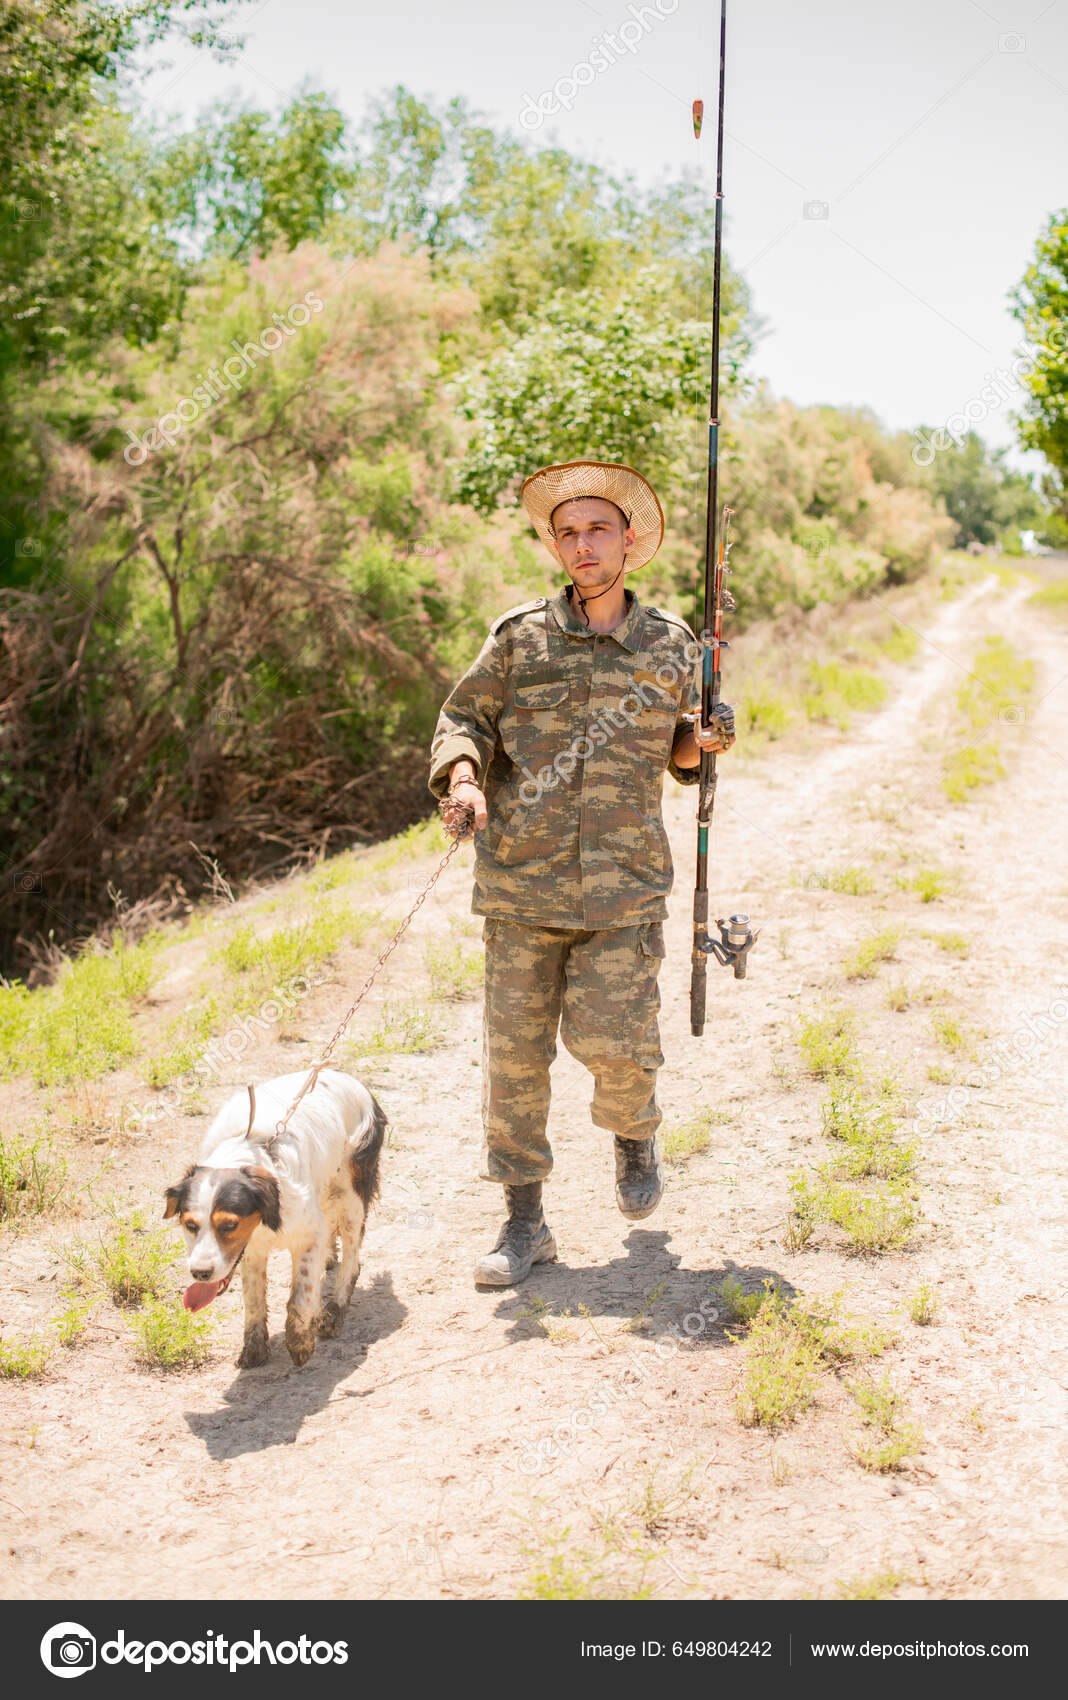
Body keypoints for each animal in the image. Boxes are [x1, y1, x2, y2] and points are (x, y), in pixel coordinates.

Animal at [164, 1060, 386, 1366]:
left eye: (229, 1225)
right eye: (190, 1225)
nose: (200, 1273)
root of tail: (340, 1073)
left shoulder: (307, 1235)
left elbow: (300, 1296)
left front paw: (300, 1341)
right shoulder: (251, 1249)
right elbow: (254, 1299)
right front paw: (254, 1348)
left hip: (351, 1190)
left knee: (352, 1260)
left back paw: (334, 1310)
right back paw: (330, 1258)